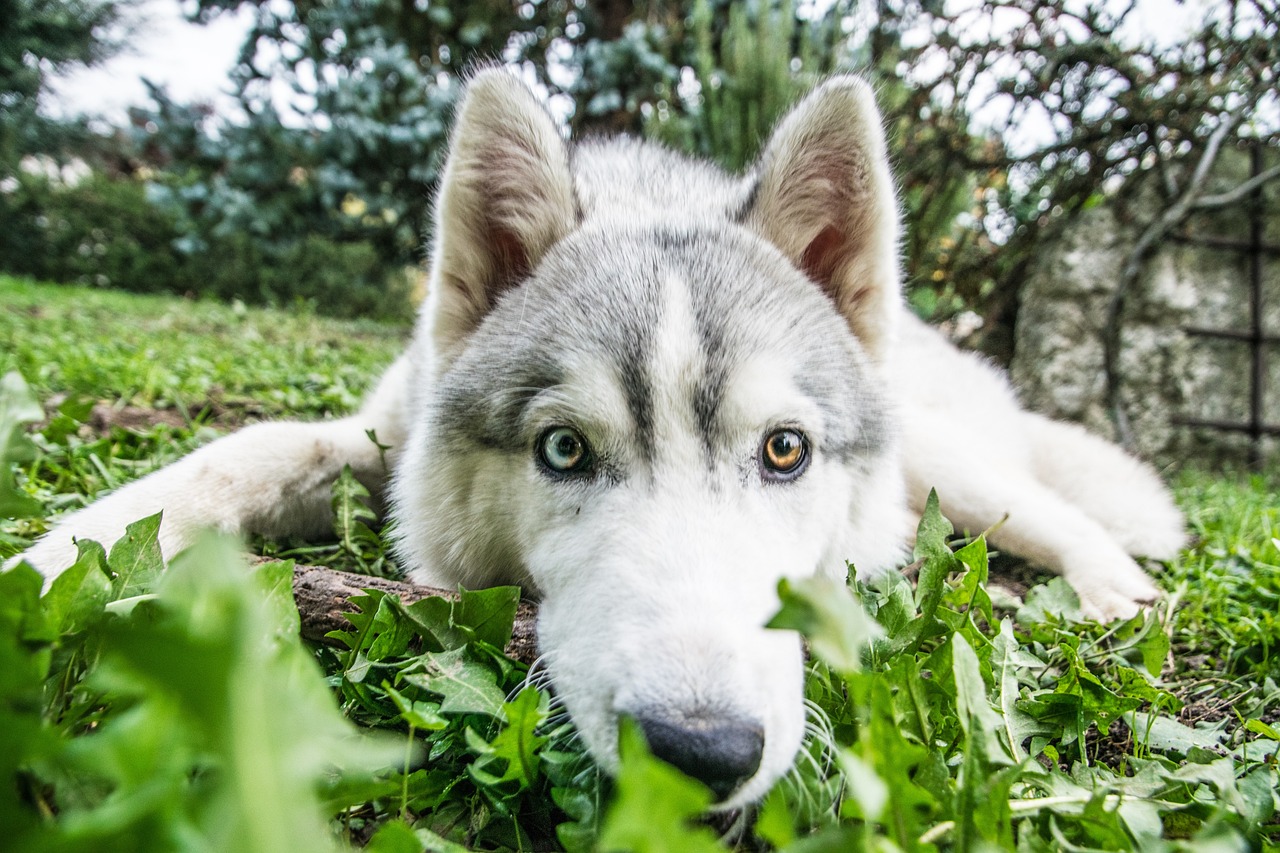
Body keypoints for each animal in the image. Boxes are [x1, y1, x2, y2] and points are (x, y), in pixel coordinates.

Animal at [15, 68, 1182, 804]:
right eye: (564, 451)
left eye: (785, 451)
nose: (699, 751)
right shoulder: (378, 436)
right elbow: (244, 449)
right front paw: (55, 559)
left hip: (949, 464)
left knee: (1059, 512)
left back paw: (1111, 593)